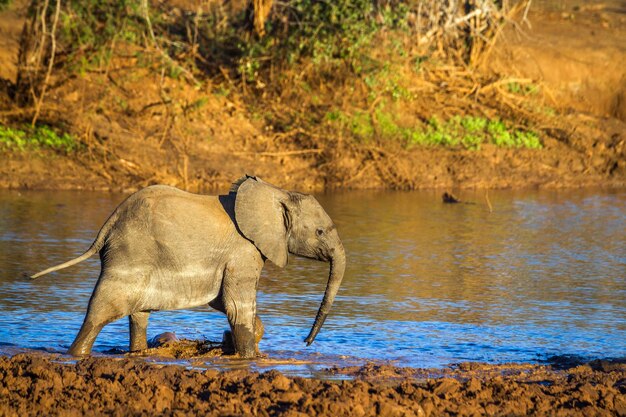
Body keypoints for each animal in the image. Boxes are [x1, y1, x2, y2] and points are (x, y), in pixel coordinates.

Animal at [30, 175, 346, 358]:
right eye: (320, 232)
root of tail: (110, 221)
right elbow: (236, 305)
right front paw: (247, 356)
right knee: (102, 308)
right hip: (131, 253)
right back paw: (77, 355)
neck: (276, 193)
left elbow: (223, 302)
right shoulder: (243, 252)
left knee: (138, 313)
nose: (306, 343)